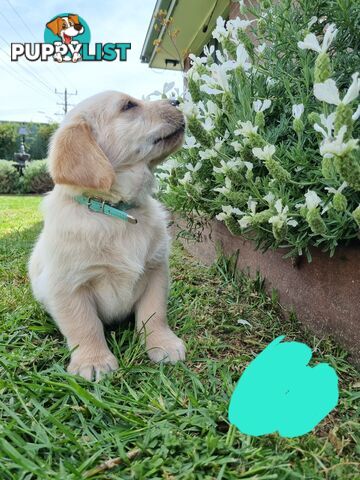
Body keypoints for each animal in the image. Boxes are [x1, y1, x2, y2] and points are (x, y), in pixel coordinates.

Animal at [28, 91, 186, 378]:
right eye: (129, 106)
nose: (177, 101)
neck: (116, 213)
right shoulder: (68, 286)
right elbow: (84, 325)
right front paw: (93, 361)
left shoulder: (156, 270)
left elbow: (154, 314)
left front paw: (163, 343)